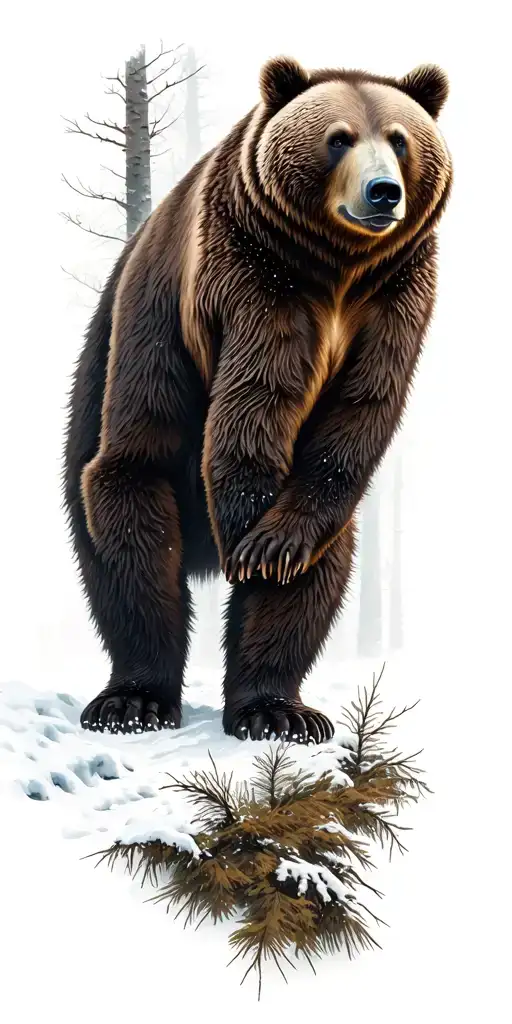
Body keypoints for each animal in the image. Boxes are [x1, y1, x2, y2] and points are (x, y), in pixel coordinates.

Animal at [63, 55, 452, 744]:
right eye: (338, 138)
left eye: (401, 140)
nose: (384, 192)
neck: (337, 271)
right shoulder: (251, 274)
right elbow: (255, 403)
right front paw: (251, 533)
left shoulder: (398, 296)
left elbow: (359, 412)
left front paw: (272, 548)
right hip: (114, 401)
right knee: (130, 531)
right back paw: (134, 700)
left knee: (323, 566)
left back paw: (277, 709)